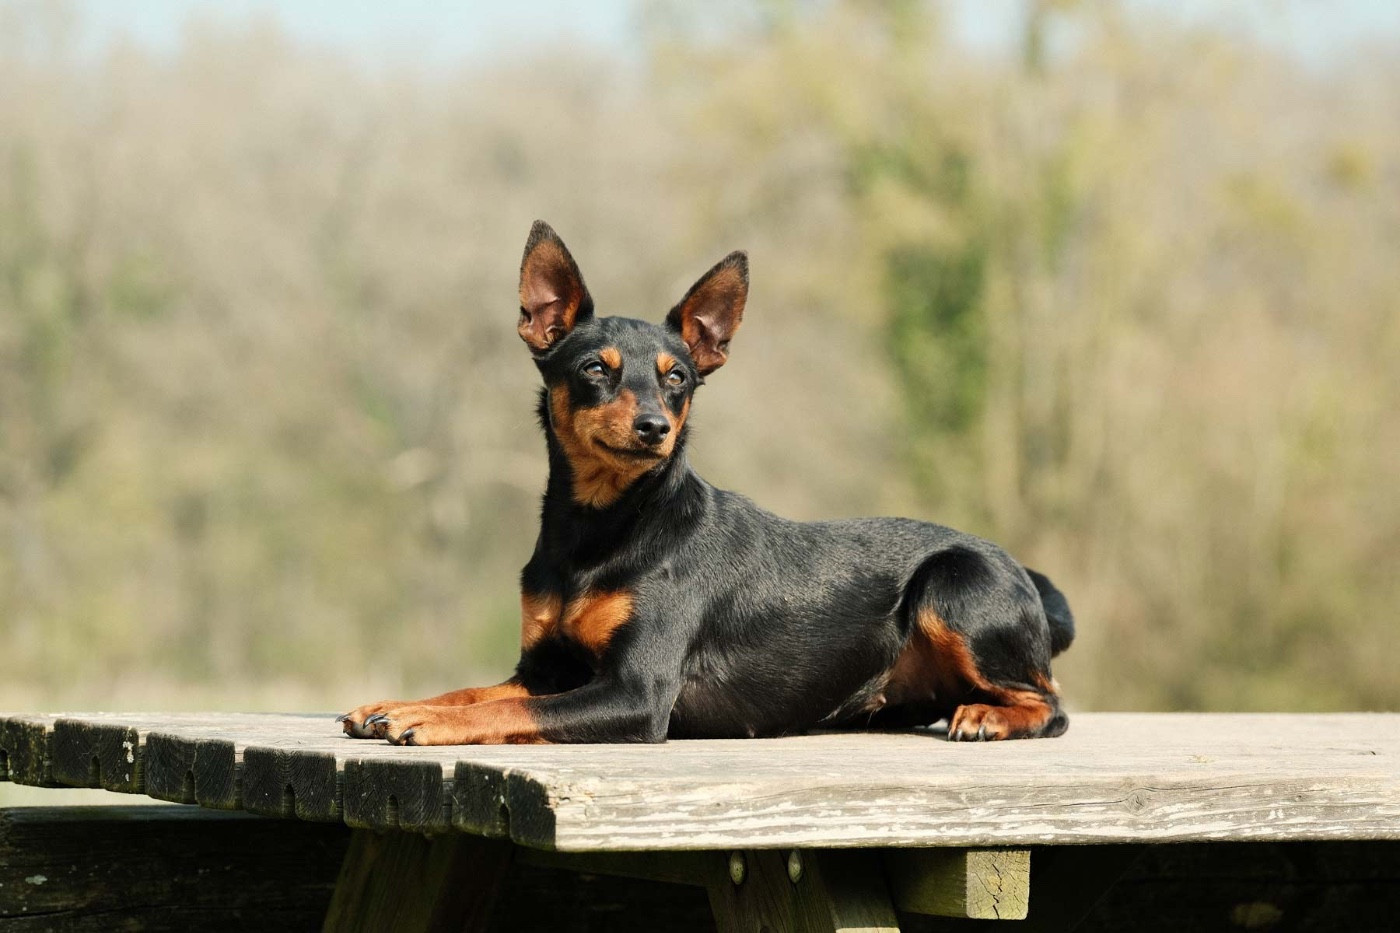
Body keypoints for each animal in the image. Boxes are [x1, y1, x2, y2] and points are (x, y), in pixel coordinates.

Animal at [339, 221, 1074, 745]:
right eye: (595, 369)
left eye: (678, 378)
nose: (654, 427)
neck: (602, 527)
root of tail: (1027, 577)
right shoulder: (545, 670)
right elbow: (474, 691)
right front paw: (394, 704)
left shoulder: (638, 693)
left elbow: (510, 711)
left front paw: (426, 721)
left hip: (953, 585)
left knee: (1052, 703)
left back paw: (990, 716)